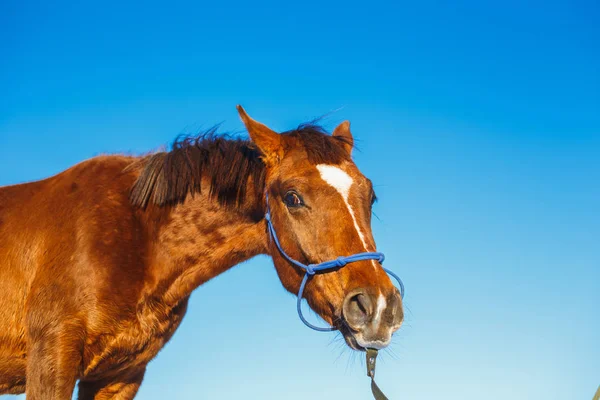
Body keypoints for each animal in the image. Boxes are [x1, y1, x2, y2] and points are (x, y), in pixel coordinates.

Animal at [1, 107, 404, 400]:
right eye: (292, 197)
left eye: (370, 196)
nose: (378, 307)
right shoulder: (51, 360)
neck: (135, 237)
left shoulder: (119, 376)